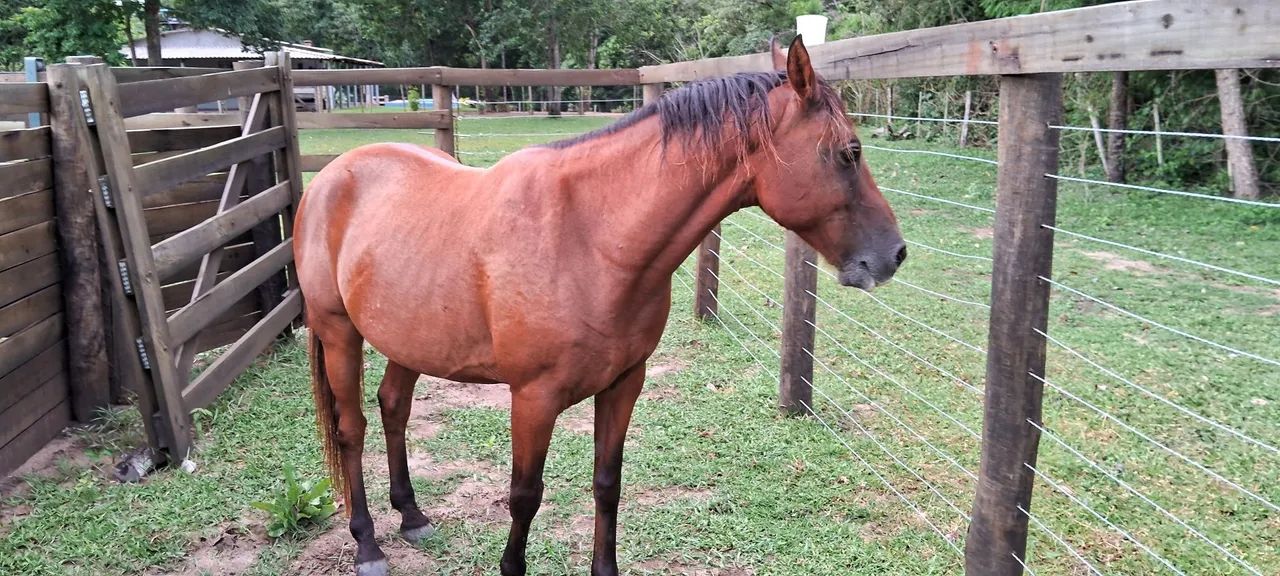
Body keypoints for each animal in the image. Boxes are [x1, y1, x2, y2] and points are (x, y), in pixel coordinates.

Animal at [294, 36, 905, 576]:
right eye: (849, 153)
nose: (894, 254)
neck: (591, 237)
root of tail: (331, 175)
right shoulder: (533, 399)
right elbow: (524, 495)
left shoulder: (623, 384)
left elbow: (607, 484)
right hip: (339, 333)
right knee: (352, 430)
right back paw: (367, 545)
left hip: (409, 339)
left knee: (394, 407)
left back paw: (412, 515)